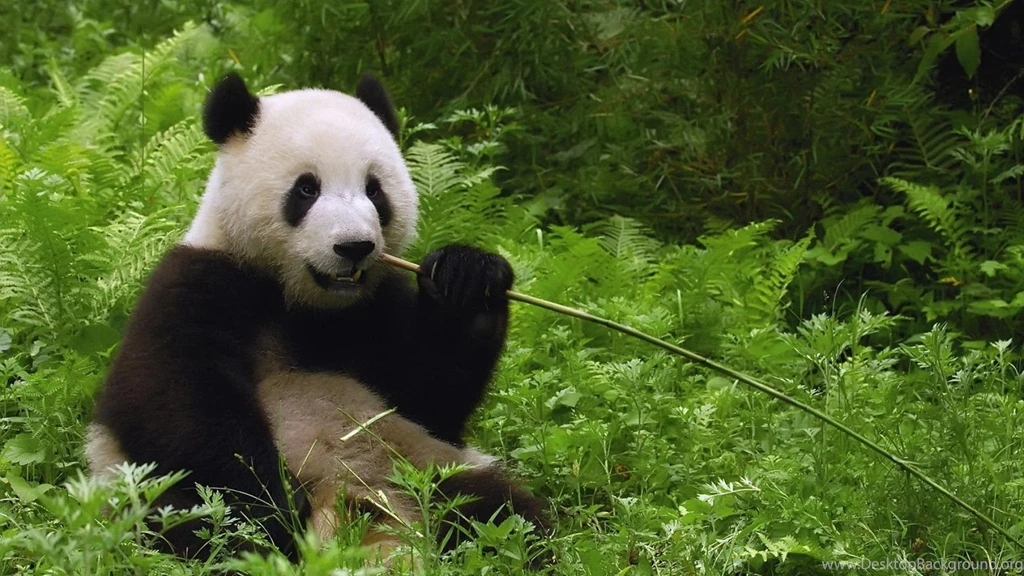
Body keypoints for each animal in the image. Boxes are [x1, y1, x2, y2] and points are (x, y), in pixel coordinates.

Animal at [84, 72, 547, 563]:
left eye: (375, 190)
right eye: (306, 189)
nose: (354, 246)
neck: (306, 303)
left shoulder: (377, 308)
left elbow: (431, 397)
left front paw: (468, 279)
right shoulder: (197, 285)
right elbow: (174, 402)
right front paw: (274, 508)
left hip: (424, 466)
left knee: (501, 514)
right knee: (191, 518)